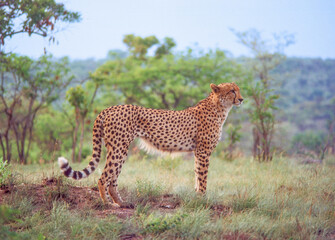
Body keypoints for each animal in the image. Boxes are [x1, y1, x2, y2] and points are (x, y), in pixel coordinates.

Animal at [59, 82, 244, 206]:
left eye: (239, 89)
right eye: (232, 90)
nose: (242, 99)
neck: (220, 108)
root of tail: (110, 107)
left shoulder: (198, 152)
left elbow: (197, 175)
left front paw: (197, 196)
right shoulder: (203, 151)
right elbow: (203, 177)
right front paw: (202, 199)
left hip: (118, 148)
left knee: (113, 178)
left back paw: (122, 203)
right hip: (119, 147)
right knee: (103, 177)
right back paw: (107, 204)